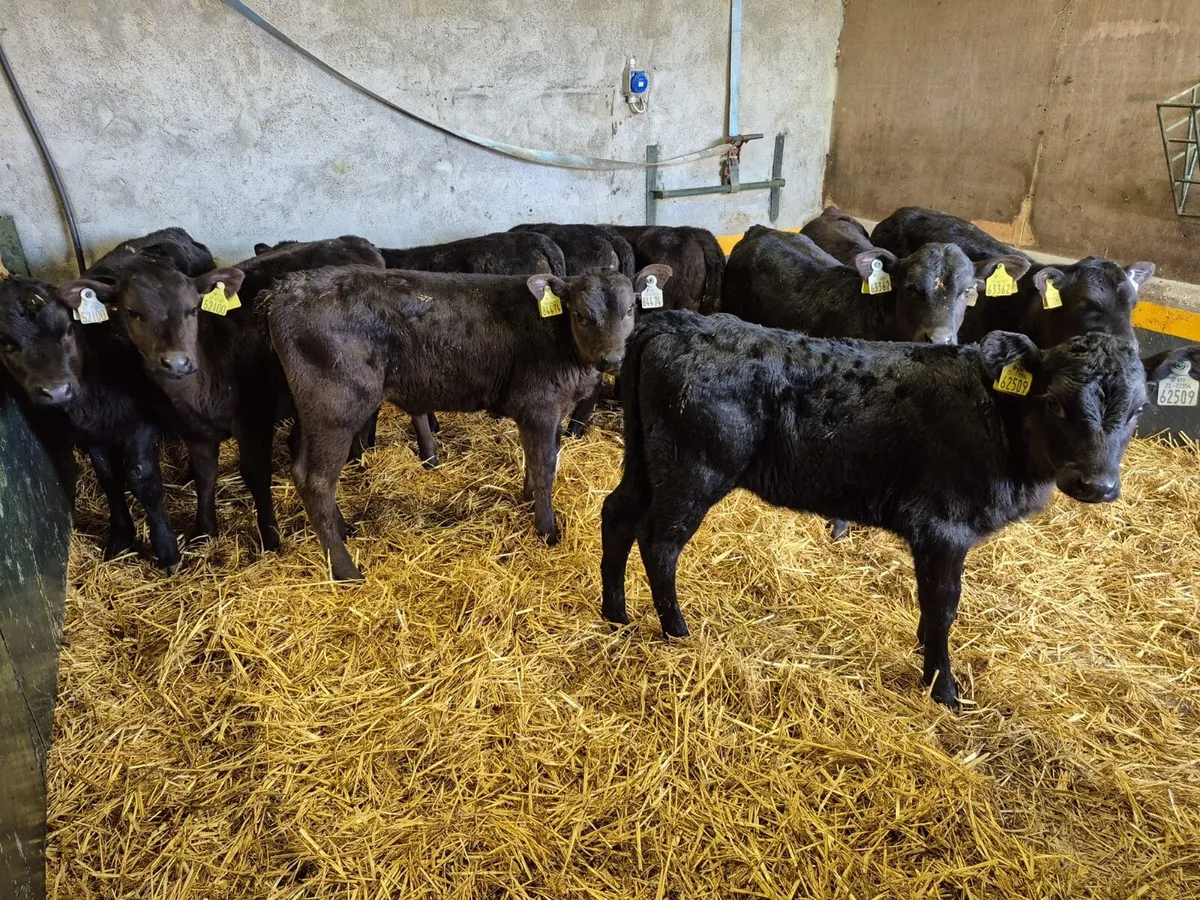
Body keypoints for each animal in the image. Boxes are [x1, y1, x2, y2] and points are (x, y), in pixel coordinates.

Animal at [0, 229, 217, 571]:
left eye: (68, 329)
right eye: (7, 344)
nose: (56, 390)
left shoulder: (140, 423)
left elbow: (142, 478)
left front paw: (166, 549)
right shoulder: (88, 434)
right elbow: (109, 478)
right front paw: (122, 536)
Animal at [59, 235, 386, 553]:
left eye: (192, 310)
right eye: (132, 313)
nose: (176, 361)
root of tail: (353, 241)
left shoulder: (254, 420)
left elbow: (255, 474)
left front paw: (270, 537)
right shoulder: (193, 429)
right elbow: (204, 475)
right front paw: (204, 529)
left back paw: (359, 451)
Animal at [268, 263, 671, 581]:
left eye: (631, 308)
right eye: (582, 315)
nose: (611, 358)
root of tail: (283, 290)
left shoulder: (545, 413)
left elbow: (537, 459)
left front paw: (528, 499)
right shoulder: (540, 405)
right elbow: (544, 467)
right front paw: (547, 530)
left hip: (316, 411)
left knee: (303, 469)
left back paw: (344, 528)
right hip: (336, 406)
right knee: (317, 479)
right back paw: (345, 569)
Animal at [600, 309, 1197, 708]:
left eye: (1139, 410)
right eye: (1054, 404)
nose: (1098, 485)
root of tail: (675, 322)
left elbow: (931, 608)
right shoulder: (943, 527)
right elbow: (944, 606)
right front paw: (944, 688)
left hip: (647, 459)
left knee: (617, 514)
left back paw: (615, 614)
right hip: (696, 469)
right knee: (660, 540)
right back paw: (677, 631)